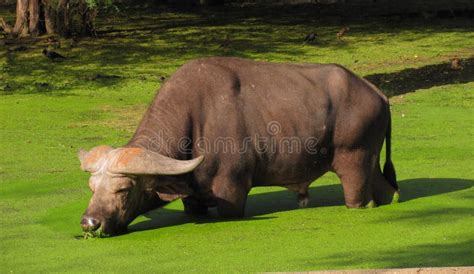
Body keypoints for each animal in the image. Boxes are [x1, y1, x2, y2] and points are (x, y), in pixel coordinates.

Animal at [78, 56, 400, 237]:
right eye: (92, 188)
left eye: (123, 189)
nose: (89, 223)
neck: (194, 122)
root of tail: (377, 93)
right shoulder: (192, 199)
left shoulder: (232, 191)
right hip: (370, 163)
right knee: (387, 192)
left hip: (354, 162)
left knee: (357, 197)